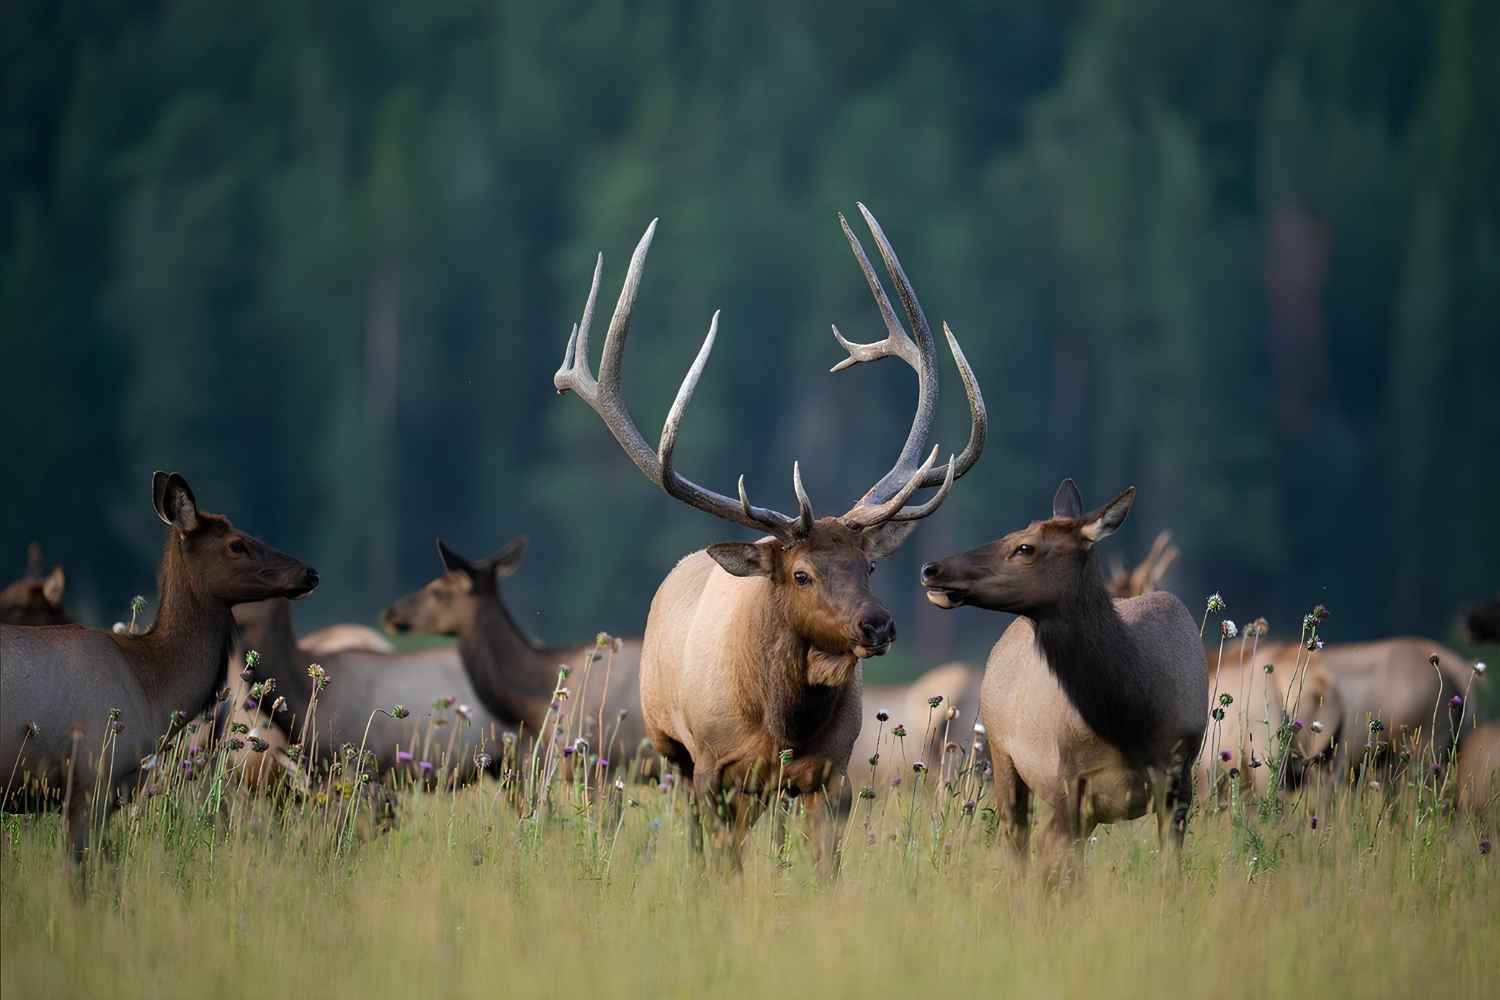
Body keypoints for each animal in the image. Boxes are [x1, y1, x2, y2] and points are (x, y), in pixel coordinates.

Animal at [553, 205, 986, 865]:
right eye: (801, 572)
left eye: (870, 566)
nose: (879, 625)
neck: (781, 723)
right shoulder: (711, 766)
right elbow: (719, 861)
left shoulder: (832, 775)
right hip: (671, 747)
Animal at [919, 480, 1208, 872]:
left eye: (1025, 547)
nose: (931, 568)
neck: (1131, 719)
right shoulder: (1069, 784)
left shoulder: (1179, 779)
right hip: (1001, 752)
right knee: (1018, 840)